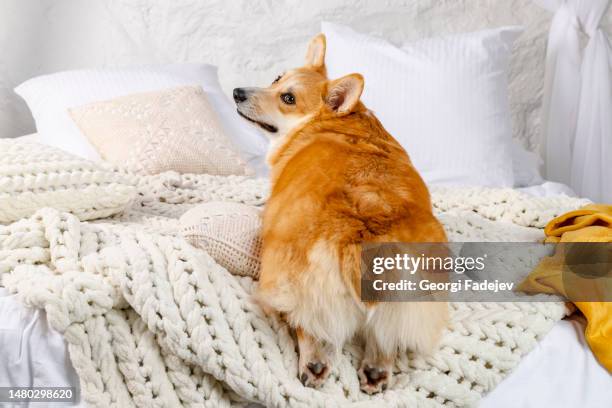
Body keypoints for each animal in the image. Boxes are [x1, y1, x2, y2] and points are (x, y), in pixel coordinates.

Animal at [232, 35, 448, 396]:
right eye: (277, 79)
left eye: (288, 98)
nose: (237, 92)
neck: (330, 121)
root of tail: (361, 230)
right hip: (409, 294)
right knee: (385, 336)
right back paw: (376, 369)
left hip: (289, 277)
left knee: (306, 323)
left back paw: (314, 362)